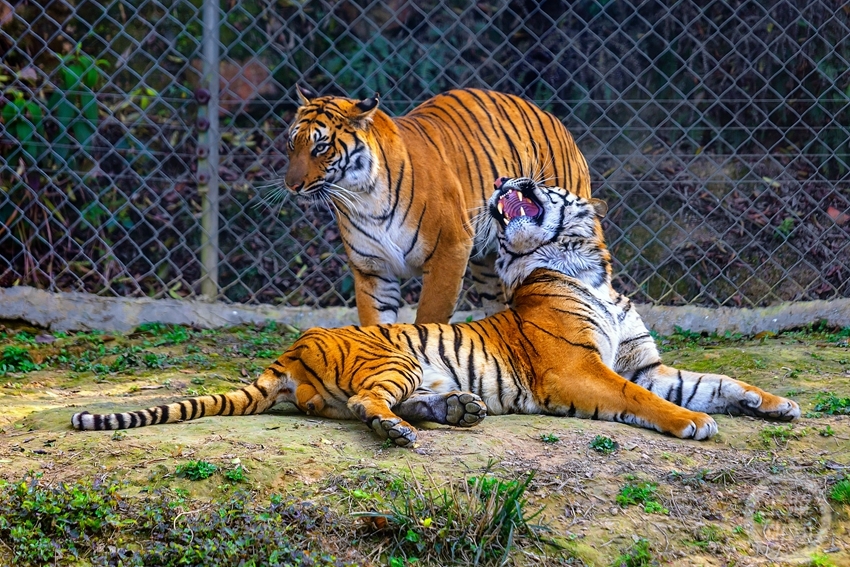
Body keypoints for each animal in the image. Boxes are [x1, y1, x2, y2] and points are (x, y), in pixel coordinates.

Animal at [69, 175, 800, 446]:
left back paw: (457, 409)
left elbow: (717, 379)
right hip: (392, 356)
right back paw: (401, 430)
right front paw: (693, 423)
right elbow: (642, 398)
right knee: (364, 404)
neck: (591, 269)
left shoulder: (644, 362)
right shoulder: (578, 369)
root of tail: (288, 350)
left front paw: (775, 404)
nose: (505, 181)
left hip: (414, 369)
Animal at [282, 87, 588, 326]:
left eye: (320, 147)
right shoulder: (372, 269)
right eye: (291, 143)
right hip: (488, 264)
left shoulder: (449, 252)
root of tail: (554, 119)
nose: (291, 185)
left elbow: (428, 320)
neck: (364, 198)